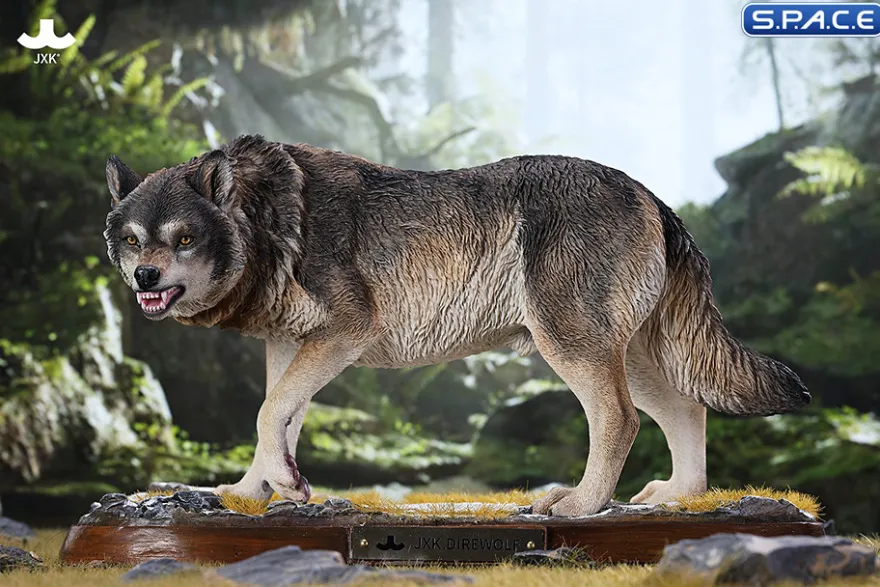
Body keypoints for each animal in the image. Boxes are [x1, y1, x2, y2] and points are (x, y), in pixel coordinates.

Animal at [103, 135, 810, 516]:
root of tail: (650, 193)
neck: (266, 218)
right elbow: (275, 420)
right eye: (133, 239)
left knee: (621, 419)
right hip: (627, 356)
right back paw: (681, 498)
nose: (144, 279)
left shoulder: (345, 332)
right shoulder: (288, 348)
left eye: (184, 238)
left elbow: (264, 414)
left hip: (573, 348)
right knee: (688, 410)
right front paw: (256, 491)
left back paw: (579, 504)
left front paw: (281, 486)